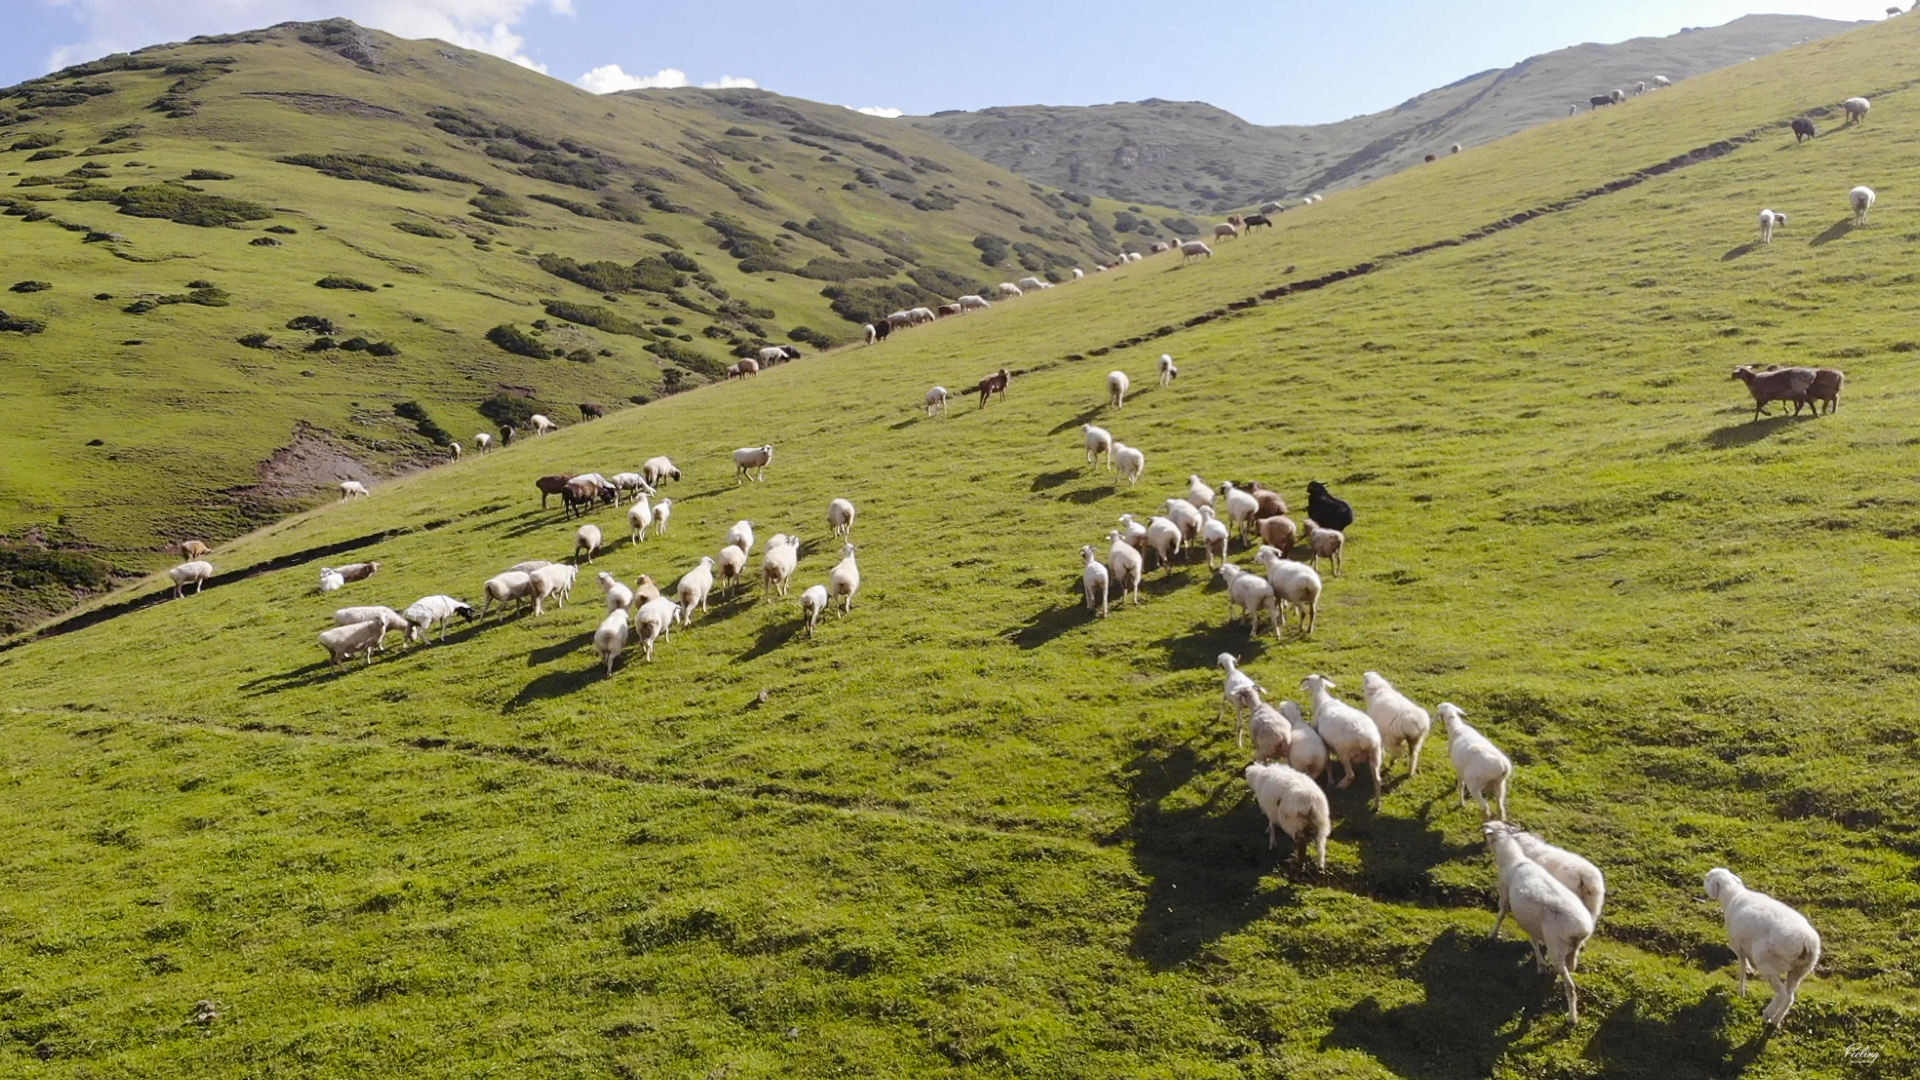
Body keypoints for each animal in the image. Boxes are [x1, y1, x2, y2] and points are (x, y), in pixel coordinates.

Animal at [1305, 668, 1382, 803]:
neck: (1322, 700)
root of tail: (1369, 741)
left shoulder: (1324, 742)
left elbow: (1328, 761)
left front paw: (1330, 781)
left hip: (1344, 751)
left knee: (1351, 775)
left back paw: (1341, 786)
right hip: (1375, 755)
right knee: (1377, 780)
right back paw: (1377, 803)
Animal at [1482, 822, 1589, 1014]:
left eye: (1489, 830)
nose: (1483, 825)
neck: (1514, 860)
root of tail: (1582, 929)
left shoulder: (1505, 895)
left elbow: (1501, 915)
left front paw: (1492, 935)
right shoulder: (1531, 920)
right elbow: (1533, 940)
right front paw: (1540, 965)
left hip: (1557, 947)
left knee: (1570, 986)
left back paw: (1572, 1016)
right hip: (1571, 950)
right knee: (1570, 967)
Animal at [1704, 864, 1820, 1022]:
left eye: (1708, 878)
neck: (1733, 895)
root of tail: (1806, 942)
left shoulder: (1737, 945)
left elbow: (1741, 966)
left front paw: (1741, 992)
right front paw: (1748, 972)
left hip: (1767, 960)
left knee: (1782, 993)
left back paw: (1768, 1014)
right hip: (1801, 969)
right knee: (1790, 997)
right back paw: (1776, 1021)